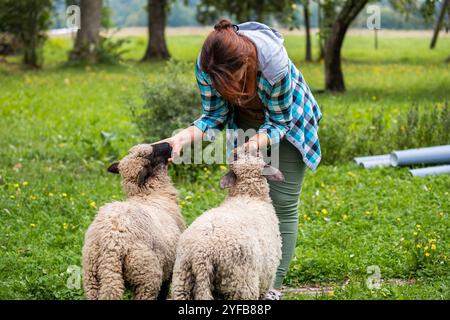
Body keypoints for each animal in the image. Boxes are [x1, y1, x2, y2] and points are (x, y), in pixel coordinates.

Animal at [82, 142, 185, 300]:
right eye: (152, 155)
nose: (168, 143)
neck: (150, 194)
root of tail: (110, 245)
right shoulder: (170, 265)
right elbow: (164, 291)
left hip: (92, 277)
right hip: (146, 275)